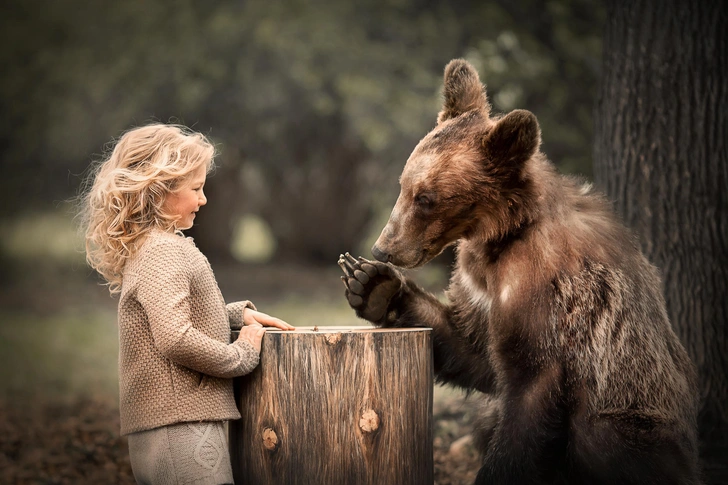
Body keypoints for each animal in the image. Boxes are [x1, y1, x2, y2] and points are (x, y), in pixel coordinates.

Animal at [338, 59, 700, 484]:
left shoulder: (545, 295)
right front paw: (372, 285)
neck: (499, 238)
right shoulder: (480, 290)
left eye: (426, 198)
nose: (383, 247)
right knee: (484, 418)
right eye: (404, 185)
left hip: (636, 411)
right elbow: (472, 347)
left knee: (605, 436)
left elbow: (528, 390)